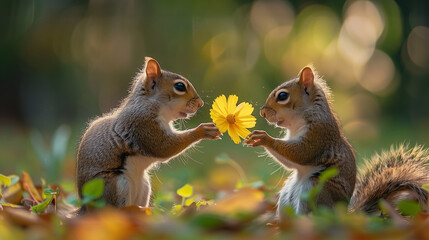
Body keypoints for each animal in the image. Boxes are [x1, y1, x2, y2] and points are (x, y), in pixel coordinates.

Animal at [75, 57, 219, 213]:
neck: (152, 104)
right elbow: (163, 147)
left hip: (144, 186)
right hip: (114, 186)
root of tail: (85, 208)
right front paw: (202, 130)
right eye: (180, 86)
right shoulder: (142, 124)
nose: (200, 104)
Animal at [244, 65, 428, 219]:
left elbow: (301, 154)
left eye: (282, 96)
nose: (262, 113)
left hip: (315, 190)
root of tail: (343, 213)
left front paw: (264, 138)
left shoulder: (319, 135)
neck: (298, 121)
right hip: (286, 197)